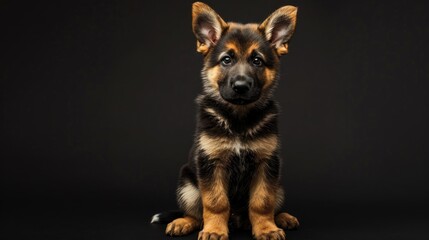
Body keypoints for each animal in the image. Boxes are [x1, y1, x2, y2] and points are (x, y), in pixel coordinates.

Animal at [153, 1, 298, 240]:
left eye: (257, 61)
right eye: (226, 60)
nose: (241, 86)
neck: (238, 118)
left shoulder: (266, 164)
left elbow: (262, 202)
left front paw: (266, 228)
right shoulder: (211, 164)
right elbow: (215, 202)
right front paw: (214, 230)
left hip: (279, 186)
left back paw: (282, 218)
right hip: (187, 186)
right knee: (196, 213)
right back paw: (184, 222)